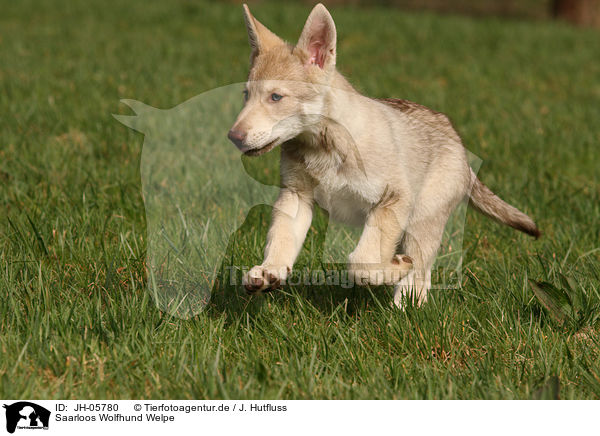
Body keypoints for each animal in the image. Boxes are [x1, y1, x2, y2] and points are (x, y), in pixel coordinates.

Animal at [226, 2, 540, 306]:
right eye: (246, 95)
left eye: (276, 97)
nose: (233, 137)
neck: (325, 147)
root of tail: (457, 142)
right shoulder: (295, 196)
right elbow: (280, 241)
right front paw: (269, 272)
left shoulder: (392, 200)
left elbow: (361, 262)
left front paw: (394, 267)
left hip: (420, 222)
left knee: (419, 278)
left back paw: (404, 311)